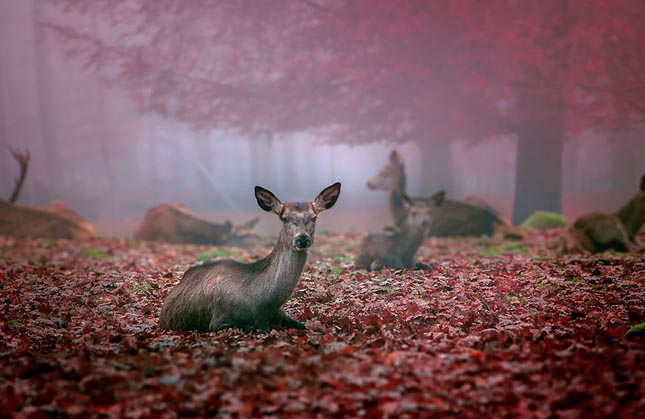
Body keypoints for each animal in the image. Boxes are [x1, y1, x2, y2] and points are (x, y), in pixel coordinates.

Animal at [157, 182, 342, 334]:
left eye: (314, 217)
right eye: (284, 218)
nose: (302, 239)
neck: (263, 306)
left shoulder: (282, 314)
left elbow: (303, 326)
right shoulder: (219, 321)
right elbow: (258, 329)